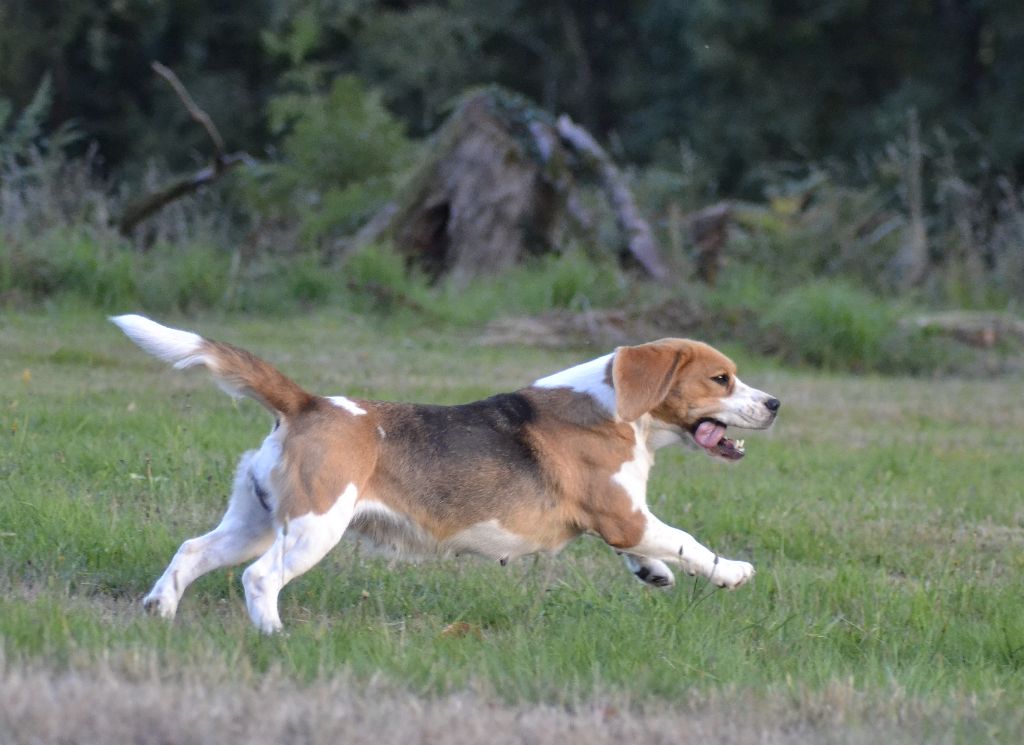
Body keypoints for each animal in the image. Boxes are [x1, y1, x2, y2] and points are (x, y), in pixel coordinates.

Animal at [112, 315, 778, 634]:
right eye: (721, 379)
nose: (774, 404)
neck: (617, 407)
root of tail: (309, 404)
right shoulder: (625, 514)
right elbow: (688, 541)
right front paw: (734, 573)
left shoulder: (623, 520)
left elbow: (648, 551)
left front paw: (653, 573)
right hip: (313, 529)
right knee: (259, 578)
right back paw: (274, 634)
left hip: (253, 522)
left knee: (193, 551)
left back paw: (160, 611)